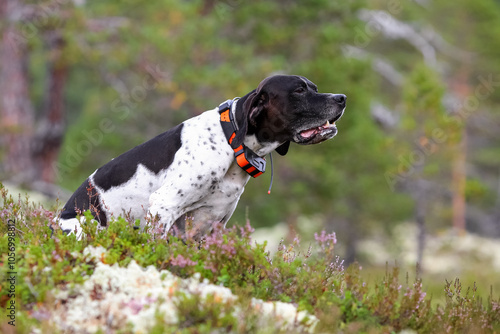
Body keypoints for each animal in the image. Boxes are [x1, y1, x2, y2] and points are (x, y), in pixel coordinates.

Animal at [58, 74, 346, 239]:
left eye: (314, 87)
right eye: (299, 91)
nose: (342, 97)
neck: (230, 140)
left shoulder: (210, 223)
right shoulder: (164, 206)